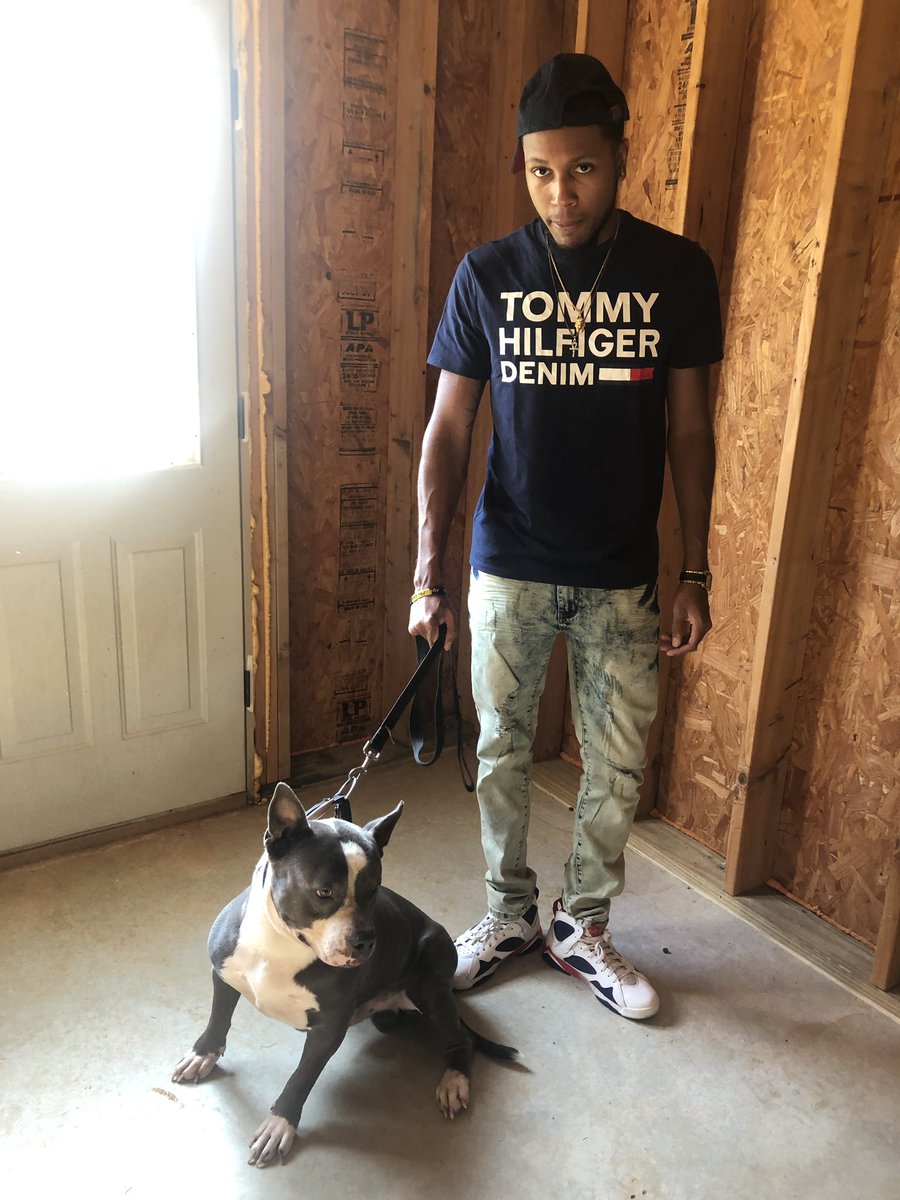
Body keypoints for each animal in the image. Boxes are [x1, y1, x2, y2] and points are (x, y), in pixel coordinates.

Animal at [172, 782, 516, 1167]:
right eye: (324, 891)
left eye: (374, 889)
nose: (365, 942)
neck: (281, 944)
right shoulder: (223, 974)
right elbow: (218, 1018)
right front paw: (203, 1053)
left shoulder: (328, 1029)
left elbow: (301, 1077)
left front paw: (280, 1123)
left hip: (430, 986)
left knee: (462, 1038)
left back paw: (455, 1081)